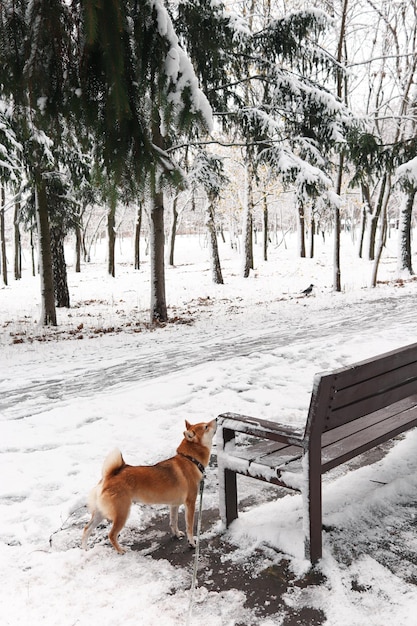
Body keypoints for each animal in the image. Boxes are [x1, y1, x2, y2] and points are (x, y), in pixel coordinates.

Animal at [82, 420, 216, 552]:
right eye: (206, 426)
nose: (217, 418)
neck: (190, 460)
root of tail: (109, 476)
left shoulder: (174, 505)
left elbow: (173, 522)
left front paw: (177, 534)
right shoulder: (190, 503)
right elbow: (189, 527)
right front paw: (192, 543)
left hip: (100, 513)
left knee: (86, 529)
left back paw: (85, 550)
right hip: (122, 513)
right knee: (111, 535)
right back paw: (121, 551)